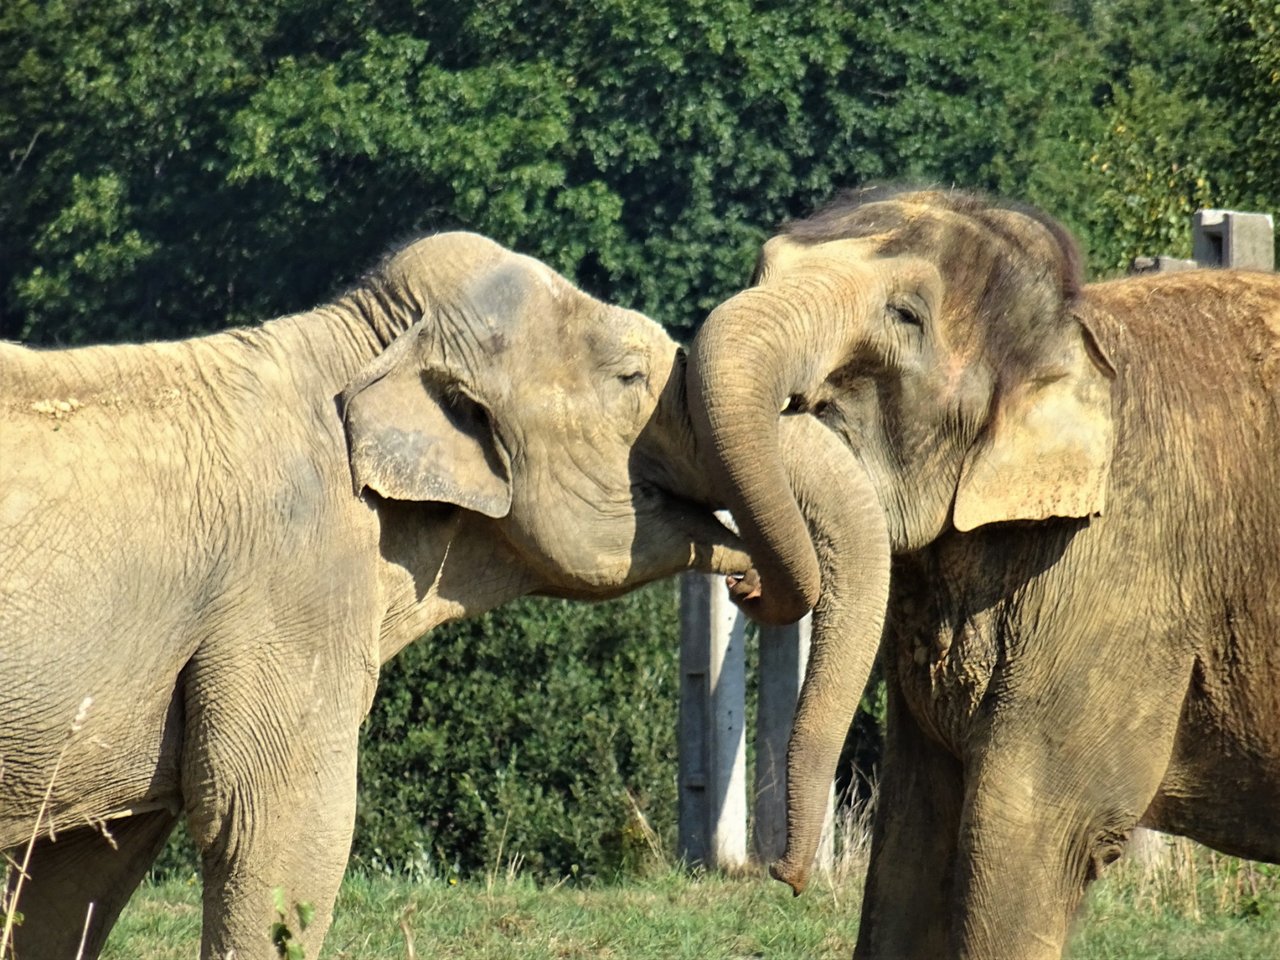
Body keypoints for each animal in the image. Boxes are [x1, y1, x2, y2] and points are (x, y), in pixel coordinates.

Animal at [0, 232, 747, 960]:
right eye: (631, 378)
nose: (747, 579)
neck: (358, 340)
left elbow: (76, 870)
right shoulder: (293, 589)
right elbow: (280, 831)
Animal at [691, 188, 1280, 960]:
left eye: (906, 316)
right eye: (760, 270)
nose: (784, 877)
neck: (1077, 328)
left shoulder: (1121, 574)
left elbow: (1038, 830)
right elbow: (913, 841)